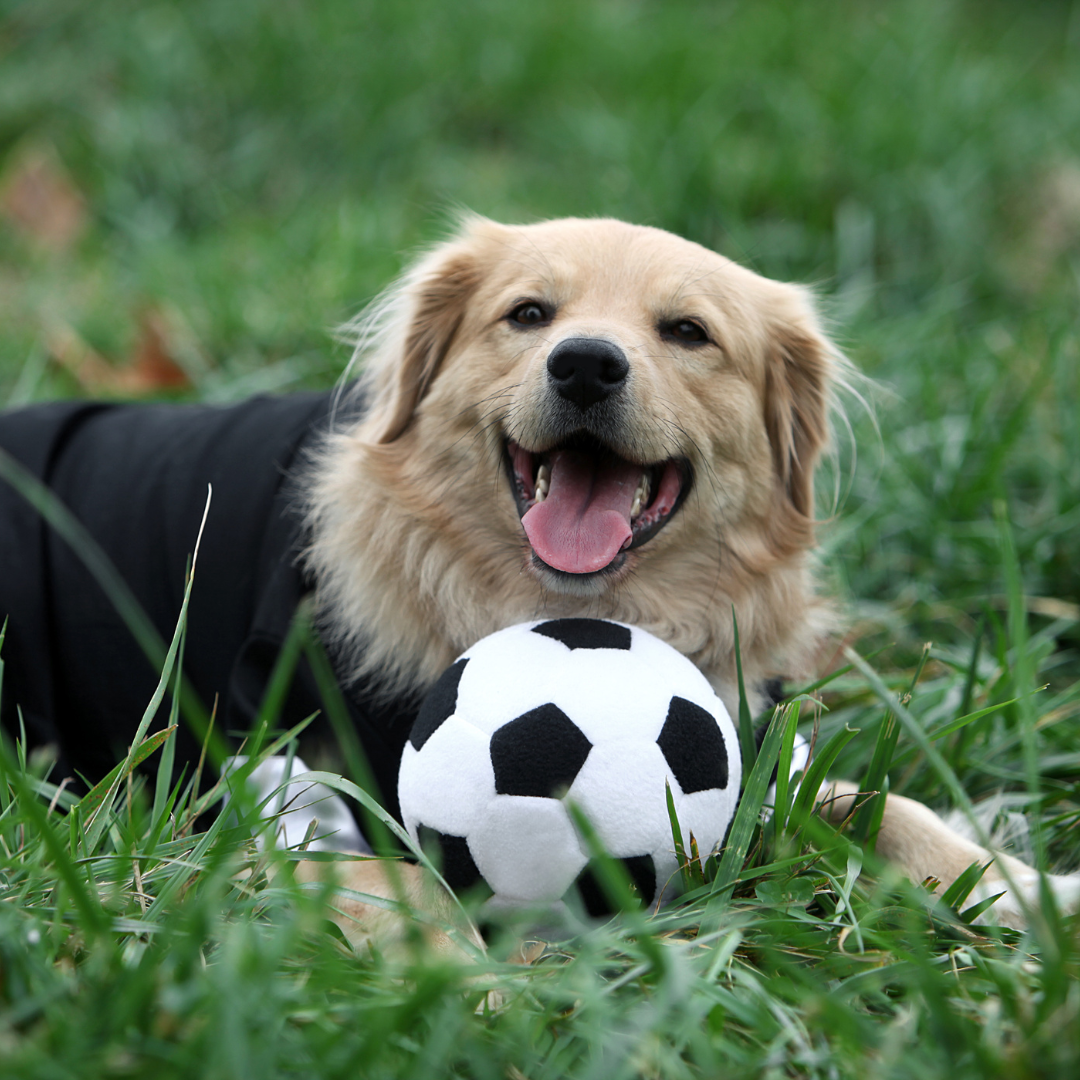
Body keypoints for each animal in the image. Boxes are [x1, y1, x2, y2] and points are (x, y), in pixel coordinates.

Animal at [0, 212, 1075, 946]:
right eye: (527, 314)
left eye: (688, 332)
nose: (587, 363)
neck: (555, 610)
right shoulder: (277, 796)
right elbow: (413, 885)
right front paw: (475, 986)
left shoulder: (746, 762)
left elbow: (886, 809)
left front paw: (1026, 895)